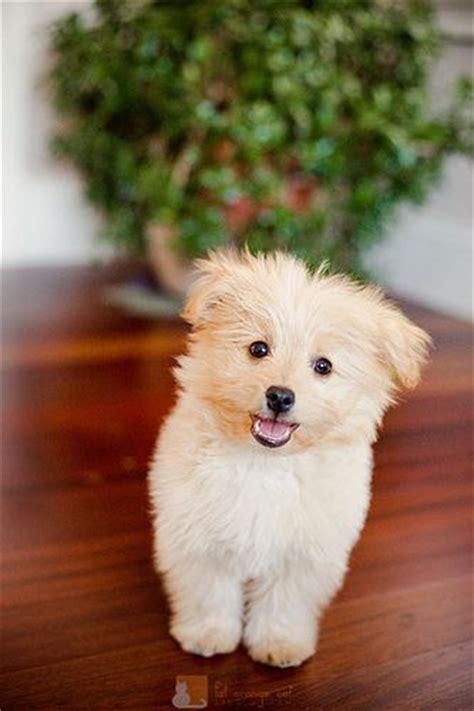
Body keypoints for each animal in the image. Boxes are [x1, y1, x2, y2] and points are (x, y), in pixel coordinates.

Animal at [148, 250, 430, 668]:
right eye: (258, 349)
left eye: (323, 366)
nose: (280, 396)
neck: (268, 463)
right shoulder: (199, 538)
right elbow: (210, 591)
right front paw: (208, 633)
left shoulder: (304, 554)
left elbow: (284, 602)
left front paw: (279, 643)